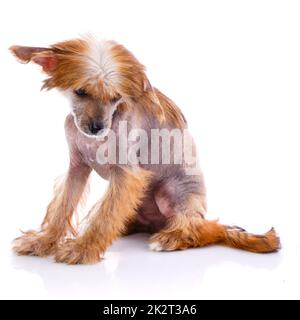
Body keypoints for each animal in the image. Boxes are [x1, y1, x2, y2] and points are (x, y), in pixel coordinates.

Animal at [9, 35, 282, 264]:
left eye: (115, 98)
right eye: (80, 91)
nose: (97, 127)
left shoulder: (126, 174)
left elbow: (104, 217)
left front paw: (82, 249)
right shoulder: (77, 169)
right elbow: (63, 208)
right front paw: (44, 241)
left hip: (170, 194)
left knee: (202, 228)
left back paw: (171, 238)